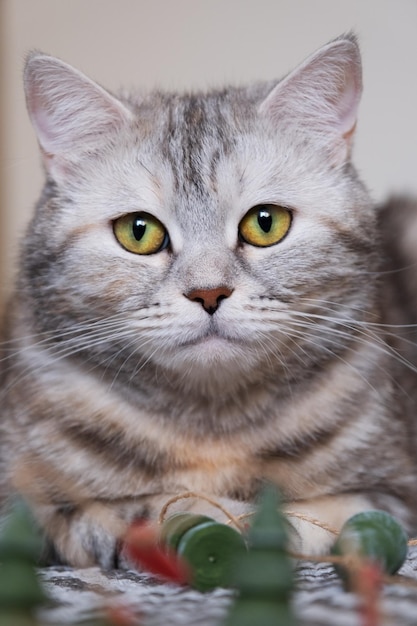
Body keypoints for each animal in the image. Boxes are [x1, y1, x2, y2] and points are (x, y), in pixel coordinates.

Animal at [0, 31, 416, 564]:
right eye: (138, 231)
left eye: (266, 223)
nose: (209, 291)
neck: (211, 426)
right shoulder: (23, 505)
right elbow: (137, 505)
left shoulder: (396, 488)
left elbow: (344, 509)